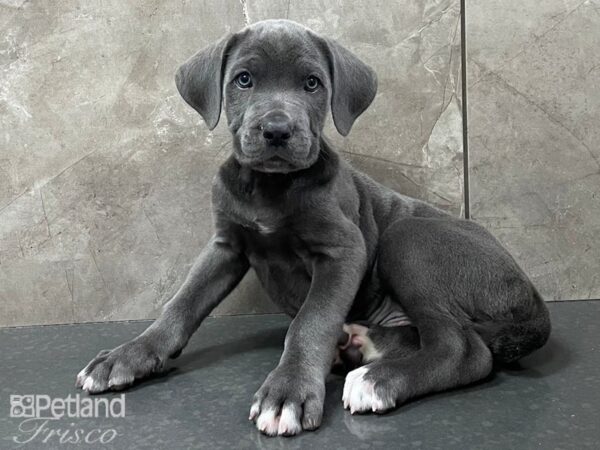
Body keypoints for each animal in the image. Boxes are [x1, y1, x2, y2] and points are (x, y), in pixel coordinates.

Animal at [77, 20, 552, 436]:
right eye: (244, 79)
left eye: (311, 84)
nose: (276, 130)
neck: (269, 187)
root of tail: (533, 298)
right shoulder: (225, 246)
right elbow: (181, 304)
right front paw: (130, 354)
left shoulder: (342, 251)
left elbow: (311, 321)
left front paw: (287, 392)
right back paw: (364, 343)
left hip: (409, 238)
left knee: (464, 348)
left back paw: (379, 380)